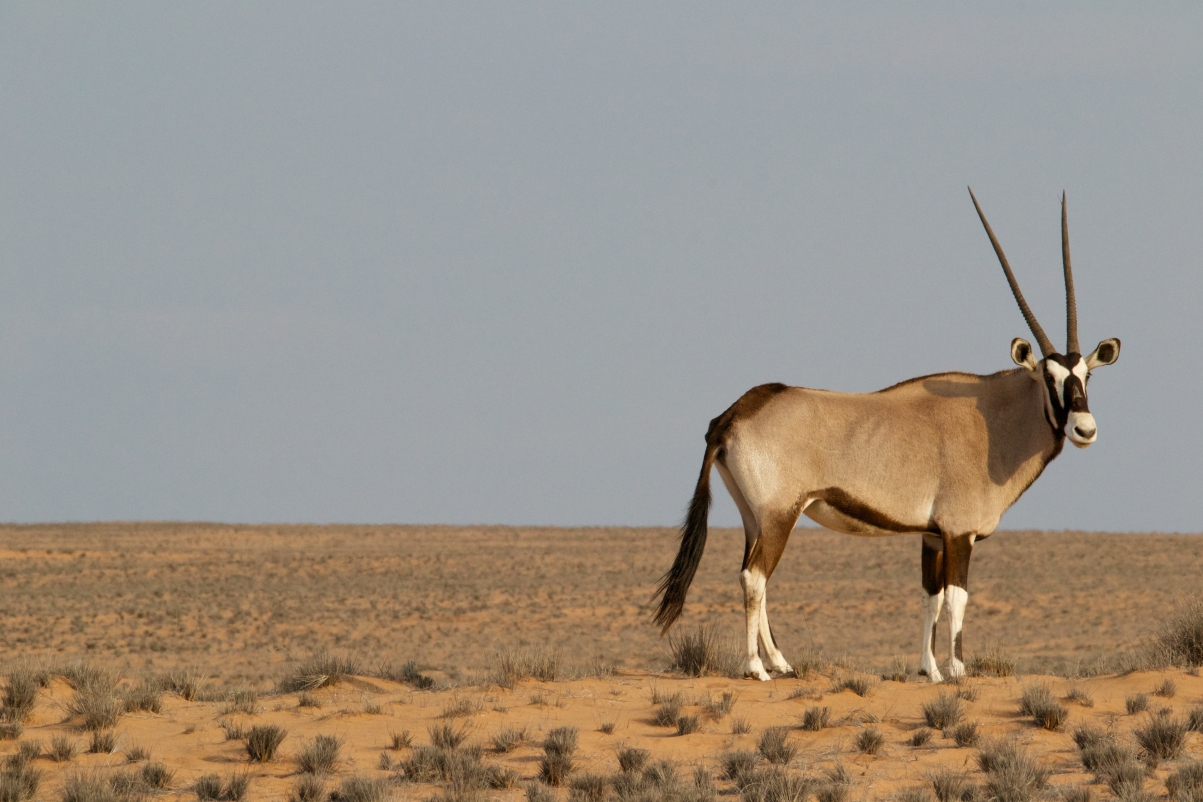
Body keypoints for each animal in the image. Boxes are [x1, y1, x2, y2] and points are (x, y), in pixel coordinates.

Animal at [659, 189, 1116, 682]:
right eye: (1049, 378)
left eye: (1086, 375)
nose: (1084, 428)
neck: (992, 418)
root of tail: (731, 414)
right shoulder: (959, 533)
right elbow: (957, 600)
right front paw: (957, 670)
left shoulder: (932, 534)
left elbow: (930, 598)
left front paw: (929, 670)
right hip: (780, 514)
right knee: (754, 577)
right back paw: (756, 668)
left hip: (753, 517)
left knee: (750, 573)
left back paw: (781, 662)